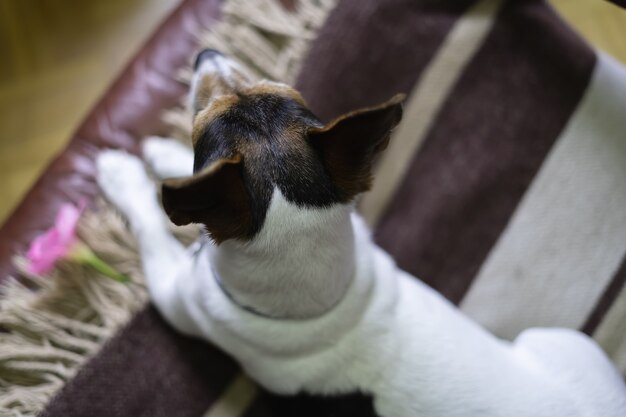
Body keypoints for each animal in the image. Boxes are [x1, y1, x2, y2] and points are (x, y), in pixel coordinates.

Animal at [96, 49, 624, 416]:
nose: (206, 53)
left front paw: (122, 174)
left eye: (201, 123)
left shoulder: (176, 296)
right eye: (271, 84)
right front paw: (163, 157)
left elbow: (152, 224)